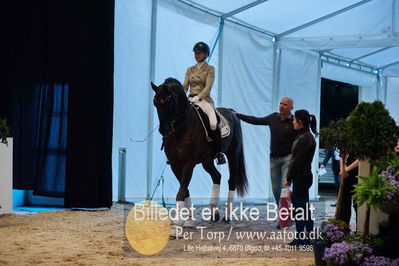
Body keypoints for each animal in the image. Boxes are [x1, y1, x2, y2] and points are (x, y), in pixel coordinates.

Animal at [152, 78, 248, 228]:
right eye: (155, 103)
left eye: (168, 102)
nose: (164, 131)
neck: (181, 128)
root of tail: (232, 113)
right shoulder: (174, 164)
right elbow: (185, 189)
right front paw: (189, 220)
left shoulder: (189, 163)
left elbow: (181, 191)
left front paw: (178, 221)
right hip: (207, 161)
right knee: (217, 177)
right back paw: (214, 214)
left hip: (233, 155)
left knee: (231, 181)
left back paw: (227, 217)